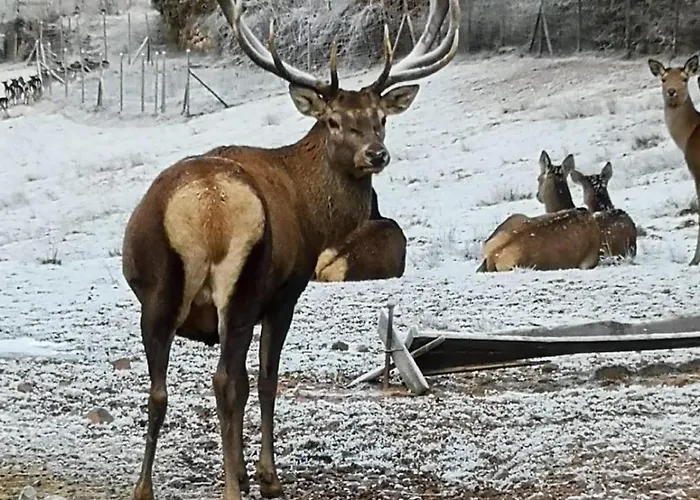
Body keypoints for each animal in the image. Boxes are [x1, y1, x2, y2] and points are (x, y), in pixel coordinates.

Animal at [120, 0, 460, 498]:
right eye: (334, 121)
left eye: (381, 119)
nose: (376, 154)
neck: (311, 213)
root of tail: (206, 205)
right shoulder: (285, 296)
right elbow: (265, 382)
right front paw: (264, 478)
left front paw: (245, 471)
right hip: (242, 288)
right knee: (226, 380)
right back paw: (233, 487)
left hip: (156, 293)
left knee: (159, 390)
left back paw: (144, 487)